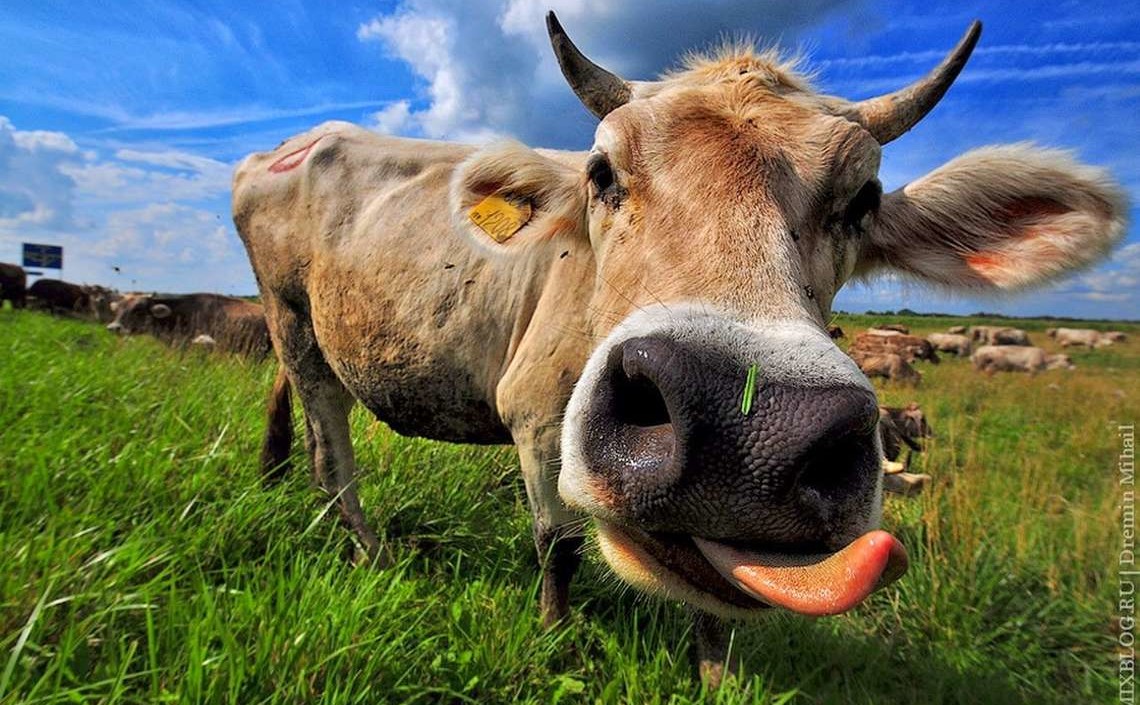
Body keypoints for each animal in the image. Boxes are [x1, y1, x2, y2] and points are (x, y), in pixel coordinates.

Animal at [232, 13, 1126, 682]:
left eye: (863, 198)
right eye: (600, 172)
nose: (747, 426)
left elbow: (715, 587)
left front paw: (715, 676)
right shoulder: (534, 416)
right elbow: (558, 545)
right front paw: (557, 640)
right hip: (294, 320)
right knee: (331, 449)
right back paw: (368, 549)